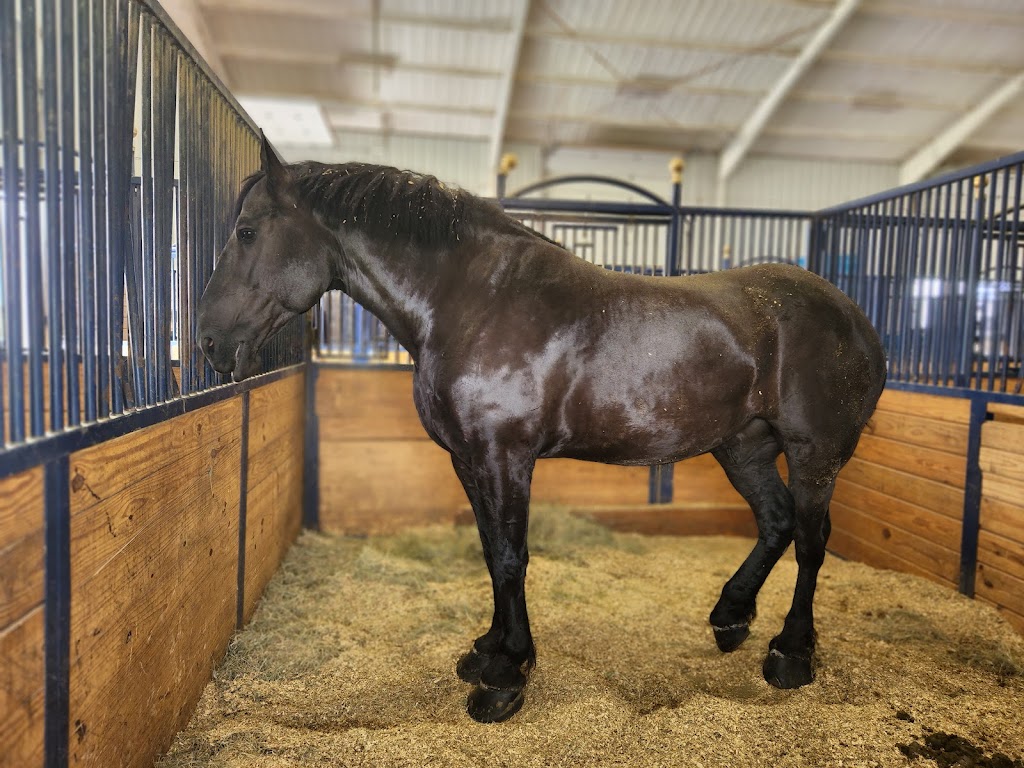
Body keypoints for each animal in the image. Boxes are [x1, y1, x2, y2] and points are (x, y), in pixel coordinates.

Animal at [197, 135, 888, 724]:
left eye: (247, 231)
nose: (207, 342)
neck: (471, 300)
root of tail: (855, 318)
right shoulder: (469, 458)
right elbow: (489, 551)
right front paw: (487, 650)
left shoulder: (505, 455)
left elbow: (511, 556)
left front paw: (506, 676)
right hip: (742, 447)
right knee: (774, 520)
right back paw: (730, 618)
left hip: (814, 452)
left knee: (810, 539)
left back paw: (790, 654)